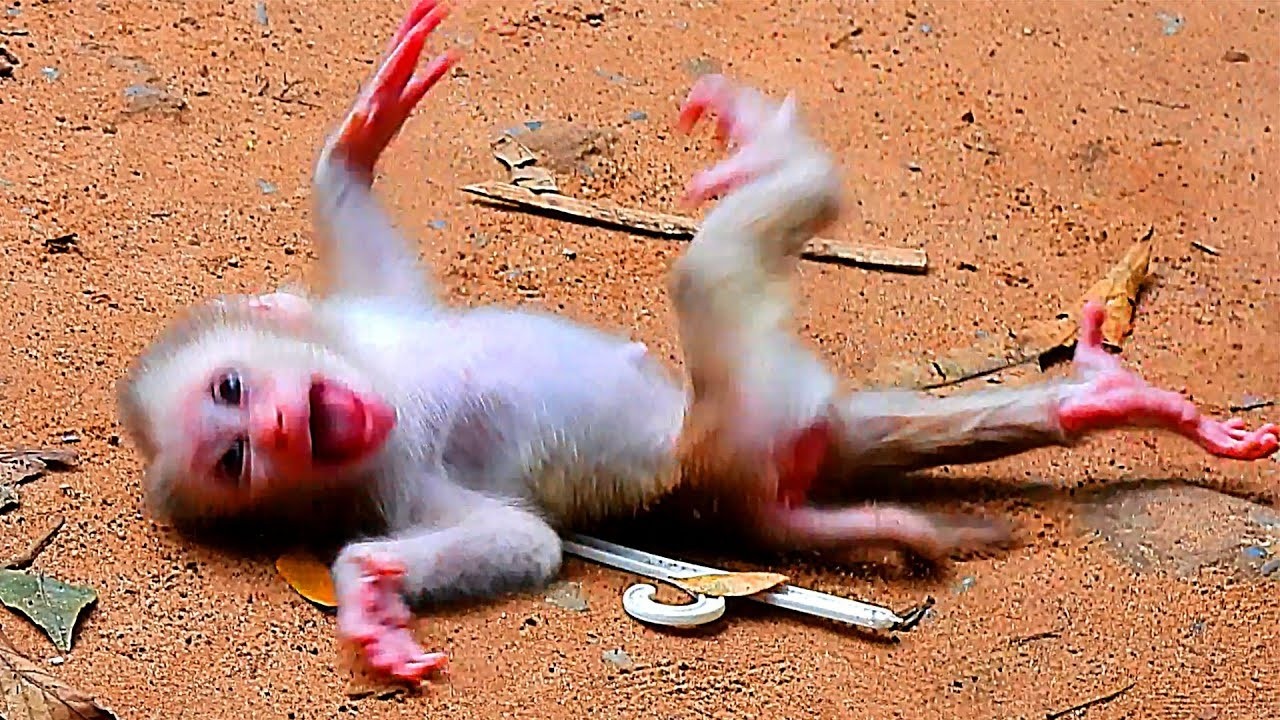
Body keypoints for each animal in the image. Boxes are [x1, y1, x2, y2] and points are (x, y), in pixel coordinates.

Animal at [116, 0, 1277, 684]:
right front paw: (367, 593)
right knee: (715, 282)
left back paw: (1096, 394)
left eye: (230, 390)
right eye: (237, 461)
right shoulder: (394, 477)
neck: (386, 391)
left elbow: (368, 244)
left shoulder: (377, 326)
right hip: (739, 416)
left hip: (780, 414)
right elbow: (521, 543)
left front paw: (361, 132)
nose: (279, 423)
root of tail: (755, 468)